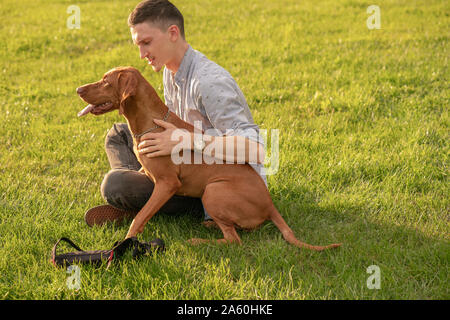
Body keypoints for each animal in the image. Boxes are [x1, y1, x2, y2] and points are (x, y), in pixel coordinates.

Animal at [75, 66, 342, 250]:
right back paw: (211, 224)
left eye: (106, 82)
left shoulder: (167, 184)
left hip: (213, 191)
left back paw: (198, 240)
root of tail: (270, 205)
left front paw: (127, 241)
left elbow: (140, 216)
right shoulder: (148, 173)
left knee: (234, 240)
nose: (78, 89)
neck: (151, 123)